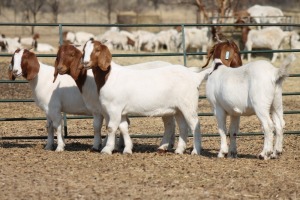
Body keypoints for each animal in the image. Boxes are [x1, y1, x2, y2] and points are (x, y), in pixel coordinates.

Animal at [82, 39, 213, 155]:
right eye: (84, 49)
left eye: (97, 49)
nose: (85, 63)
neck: (109, 76)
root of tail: (194, 77)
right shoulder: (122, 111)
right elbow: (124, 128)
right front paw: (127, 149)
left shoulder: (114, 108)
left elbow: (111, 128)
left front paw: (107, 149)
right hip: (178, 109)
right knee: (183, 127)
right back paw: (179, 150)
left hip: (189, 105)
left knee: (195, 124)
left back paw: (195, 151)